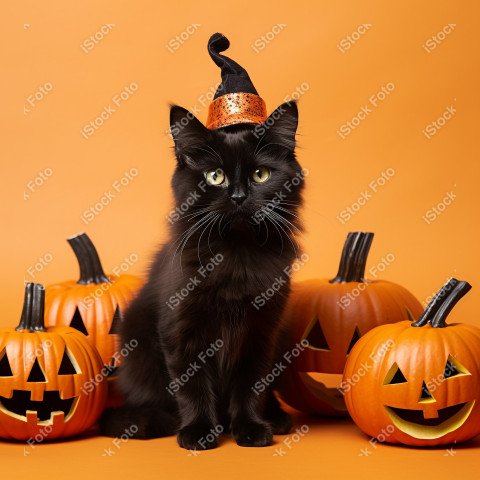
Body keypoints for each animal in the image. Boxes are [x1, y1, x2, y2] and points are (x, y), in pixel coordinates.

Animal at [100, 101, 306, 450]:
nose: (238, 197)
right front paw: (198, 432)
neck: (236, 254)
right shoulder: (181, 329)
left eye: (260, 174)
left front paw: (250, 428)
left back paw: (275, 418)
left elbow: (251, 383)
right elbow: (191, 385)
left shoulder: (261, 330)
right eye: (215, 176)